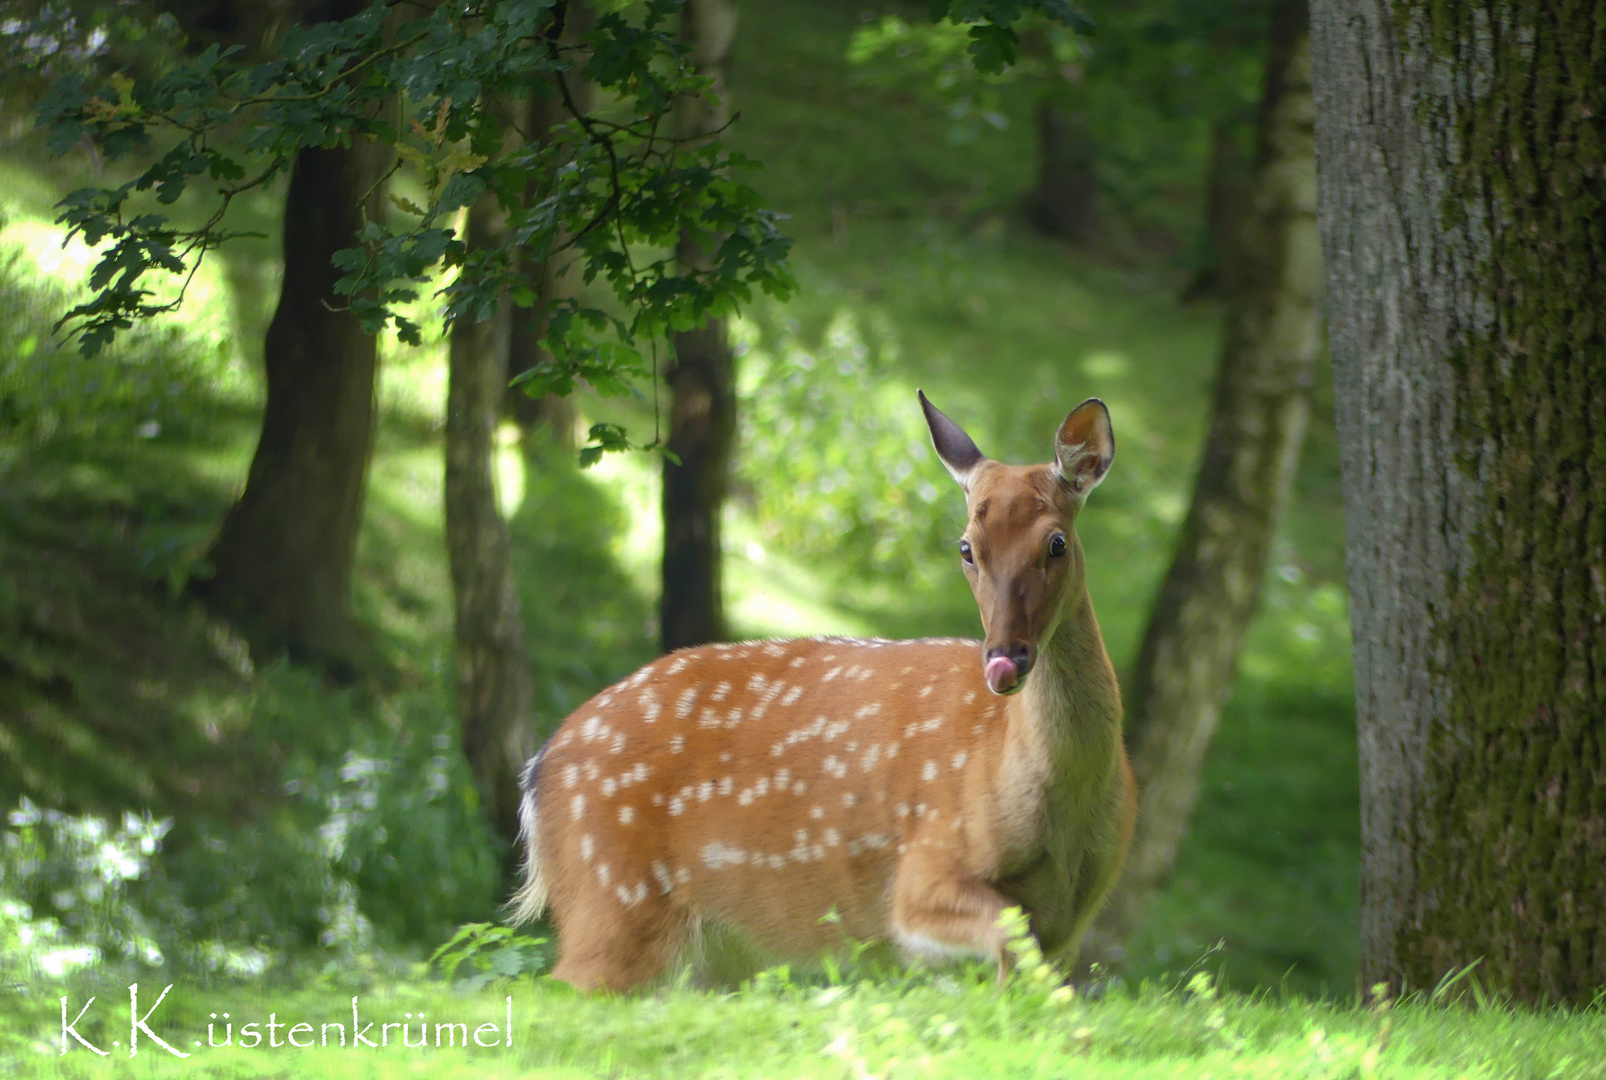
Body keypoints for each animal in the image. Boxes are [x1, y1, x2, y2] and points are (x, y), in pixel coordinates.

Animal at [507, 392, 1137, 989]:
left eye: (1056, 542)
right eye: (966, 548)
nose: (1006, 659)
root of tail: (538, 770)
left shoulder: (1076, 920)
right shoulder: (923, 870)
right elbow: (1007, 938)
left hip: (708, 952)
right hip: (611, 894)